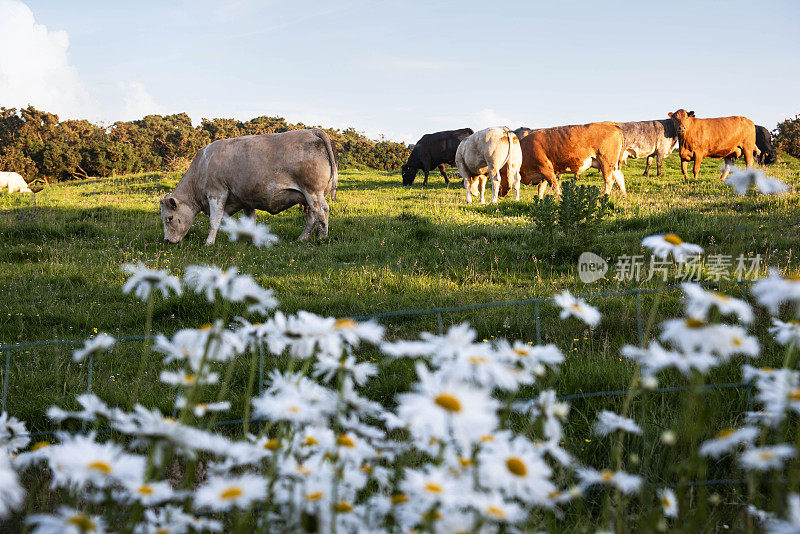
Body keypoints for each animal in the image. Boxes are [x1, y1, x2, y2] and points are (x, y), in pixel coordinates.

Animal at [159, 129, 338, 246]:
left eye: (169, 218)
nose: (167, 241)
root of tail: (312, 130)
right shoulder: (246, 200)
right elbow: (248, 221)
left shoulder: (217, 193)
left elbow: (215, 220)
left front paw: (209, 243)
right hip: (308, 197)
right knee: (312, 217)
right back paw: (302, 238)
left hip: (313, 192)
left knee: (322, 212)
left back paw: (322, 238)